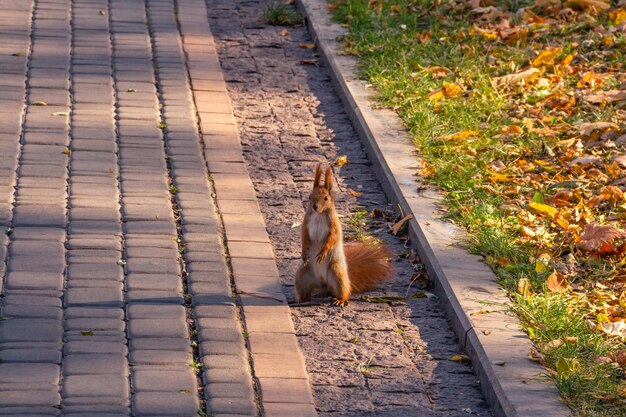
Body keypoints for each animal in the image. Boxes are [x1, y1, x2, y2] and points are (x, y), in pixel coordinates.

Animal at [294, 163, 392, 306]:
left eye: (326, 198)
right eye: (309, 197)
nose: (314, 207)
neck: (319, 215)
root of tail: (324, 285)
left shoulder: (334, 225)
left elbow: (332, 238)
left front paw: (323, 251)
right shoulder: (306, 223)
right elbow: (304, 237)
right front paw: (303, 253)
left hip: (337, 273)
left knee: (344, 290)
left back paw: (341, 300)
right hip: (302, 276)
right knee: (304, 291)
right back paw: (299, 300)